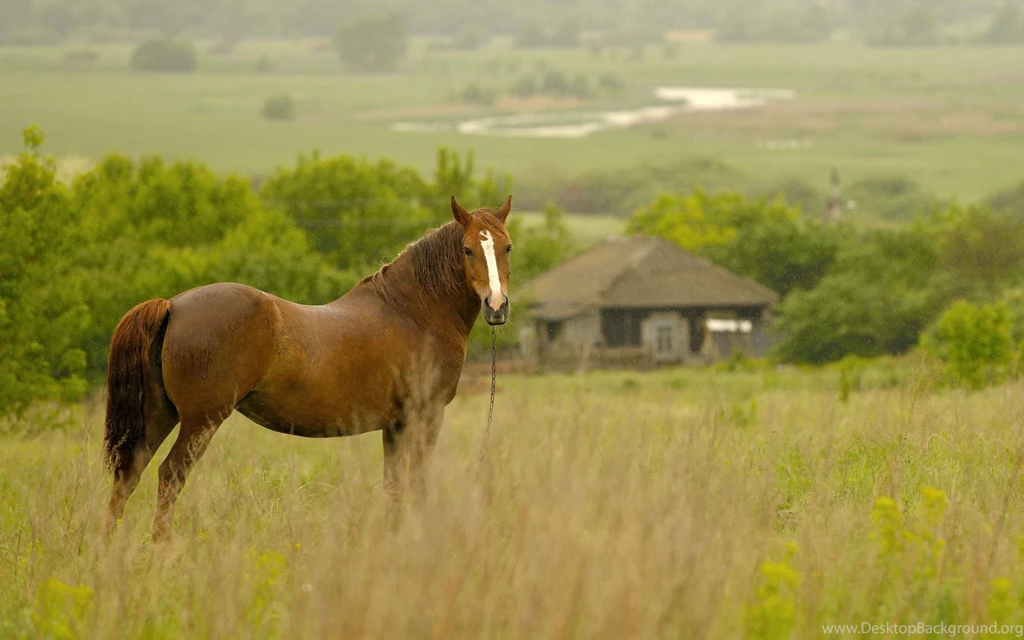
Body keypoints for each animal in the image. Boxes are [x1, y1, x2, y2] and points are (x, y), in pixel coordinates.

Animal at [104, 196, 514, 540]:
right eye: (467, 249)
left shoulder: (395, 425)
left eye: (506, 247)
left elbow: (394, 485)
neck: (413, 311)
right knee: (170, 475)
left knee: (128, 474)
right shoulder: (425, 416)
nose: (497, 306)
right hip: (199, 421)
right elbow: (418, 483)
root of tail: (173, 306)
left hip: (160, 414)